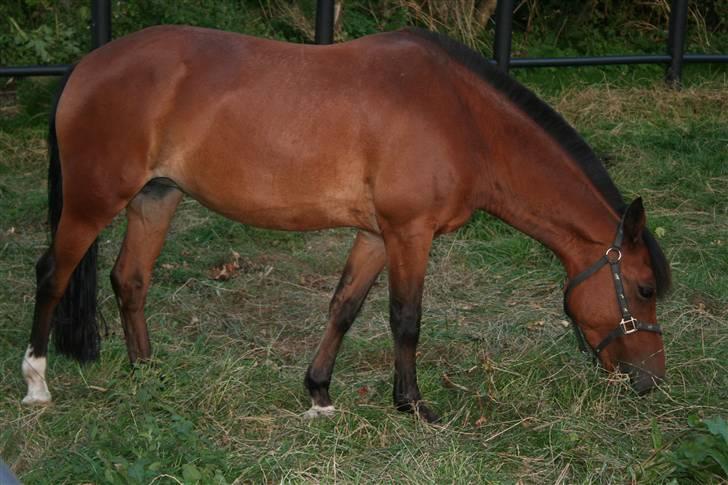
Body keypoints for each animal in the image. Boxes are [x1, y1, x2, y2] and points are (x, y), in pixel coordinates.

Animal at [21, 26, 672, 422]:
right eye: (643, 288)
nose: (651, 381)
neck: (463, 120)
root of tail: (86, 65)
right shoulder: (410, 233)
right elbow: (406, 319)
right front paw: (413, 405)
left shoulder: (377, 234)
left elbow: (344, 307)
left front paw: (319, 393)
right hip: (93, 202)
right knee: (52, 274)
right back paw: (36, 382)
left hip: (156, 198)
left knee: (129, 279)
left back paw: (146, 372)